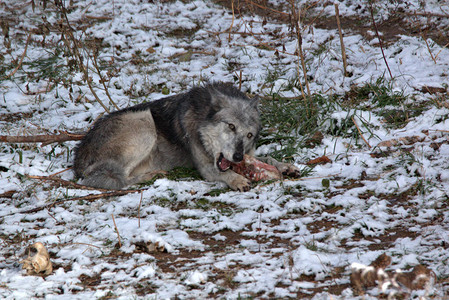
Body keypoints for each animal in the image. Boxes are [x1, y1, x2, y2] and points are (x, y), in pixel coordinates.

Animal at [73, 82, 300, 190]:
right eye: (231, 126)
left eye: (249, 134)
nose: (237, 157)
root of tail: (78, 156)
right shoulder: (206, 168)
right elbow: (224, 173)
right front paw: (237, 179)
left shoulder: (248, 154)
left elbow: (267, 158)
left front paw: (285, 166)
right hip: (144, 123)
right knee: (115, 179)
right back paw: (152, 175)